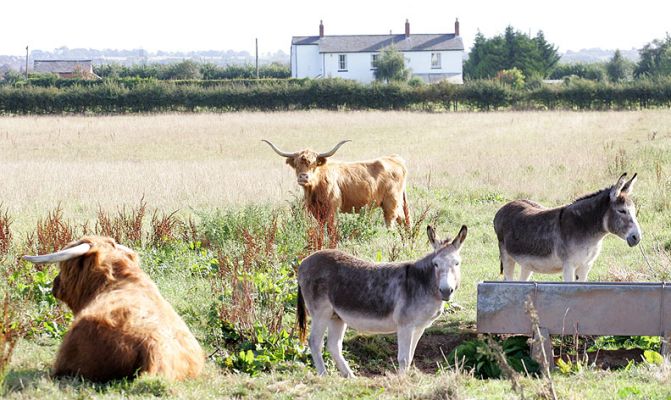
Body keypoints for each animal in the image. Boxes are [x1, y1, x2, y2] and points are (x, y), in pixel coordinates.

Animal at [262, 139, 409, 227]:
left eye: (314, 165)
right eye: (297, 165)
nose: (303, 177)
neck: (314, 190)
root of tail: (395, 158)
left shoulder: (332, 209)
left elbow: (331, 229)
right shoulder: (316, 211)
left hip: (391, 202)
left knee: (390, 221)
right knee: (403, 220)